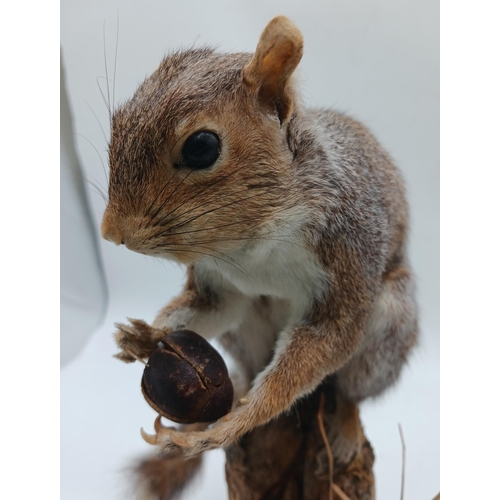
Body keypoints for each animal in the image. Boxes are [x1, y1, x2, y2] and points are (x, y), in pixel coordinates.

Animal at [100, 14, 418, 496]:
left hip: (391, 324)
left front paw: (231, 426)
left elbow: (322, 343)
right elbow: (207, 309)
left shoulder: (347, 253)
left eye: (201, 147)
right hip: (246, 332)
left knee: (349, 390)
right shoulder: (220, 284)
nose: (110, 231)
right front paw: (146, 335)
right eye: (117, 121)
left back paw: (344, 424)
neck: (254, 244)